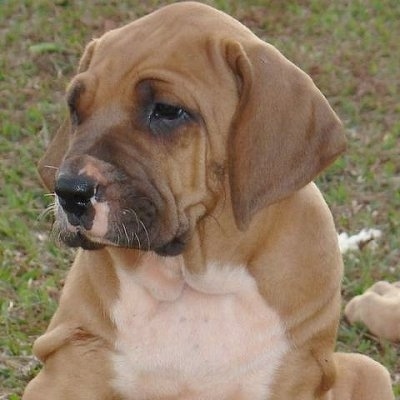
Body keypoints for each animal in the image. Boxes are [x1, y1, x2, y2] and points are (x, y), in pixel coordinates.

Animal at [22, 3, 394, 400]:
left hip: (370, 371)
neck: (193, 277)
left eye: (167, 110)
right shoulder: (69, 362)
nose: (69, 191)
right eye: (75, 108)